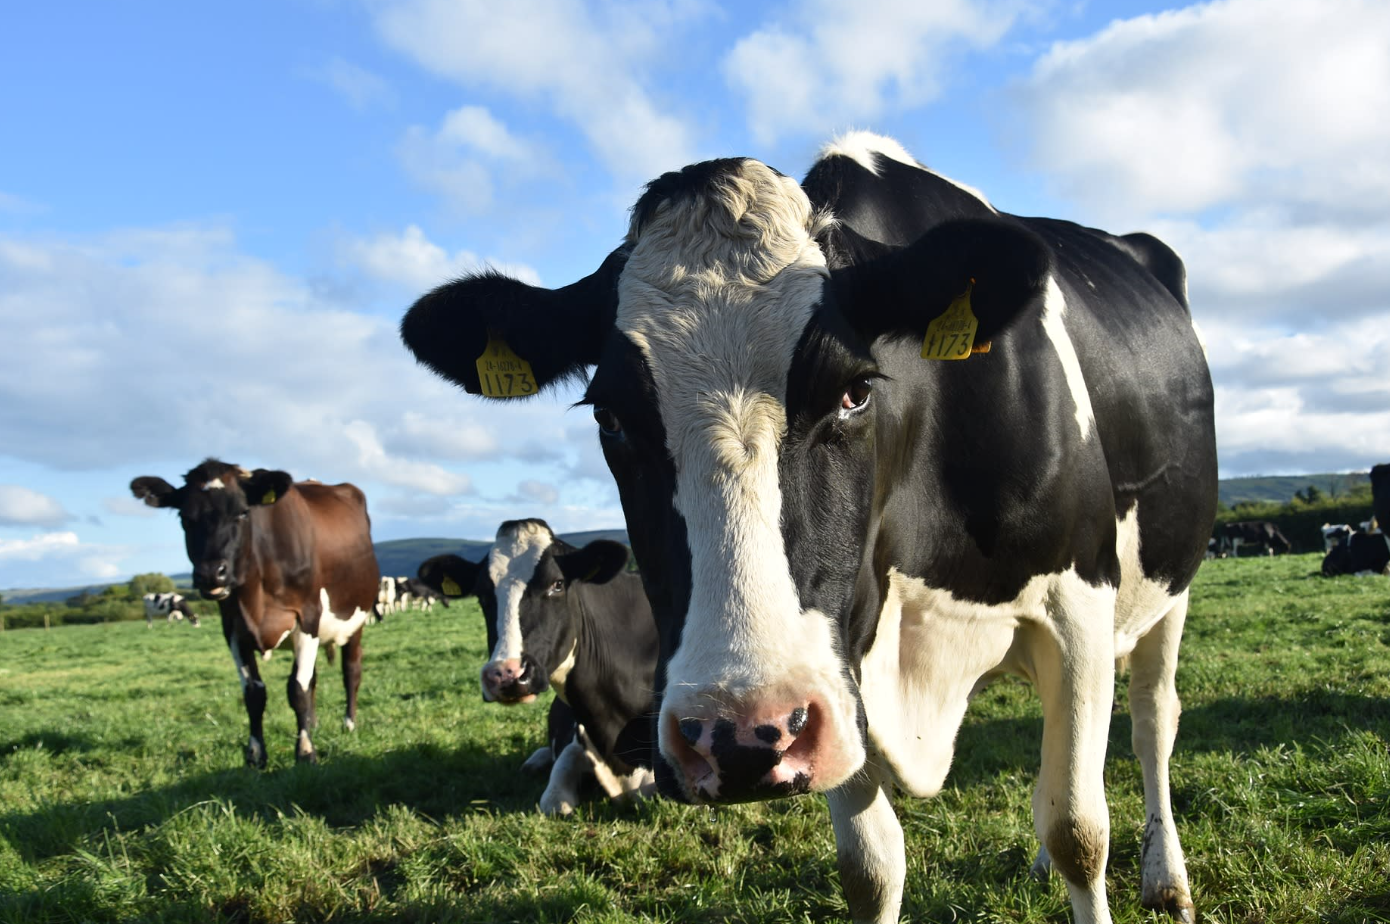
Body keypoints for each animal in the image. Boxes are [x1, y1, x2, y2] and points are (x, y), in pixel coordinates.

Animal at [131, 458, 380, 766]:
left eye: (242, 512)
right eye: (184, 518)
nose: (210, 574)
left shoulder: (307, 618)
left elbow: (297, 689)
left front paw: (305, 751)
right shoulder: (233, 629)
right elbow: (254, 693)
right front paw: (256, 754)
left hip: (355, 620)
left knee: (350, 671)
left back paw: (348, 723)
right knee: (313, 678)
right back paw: (314, 723)